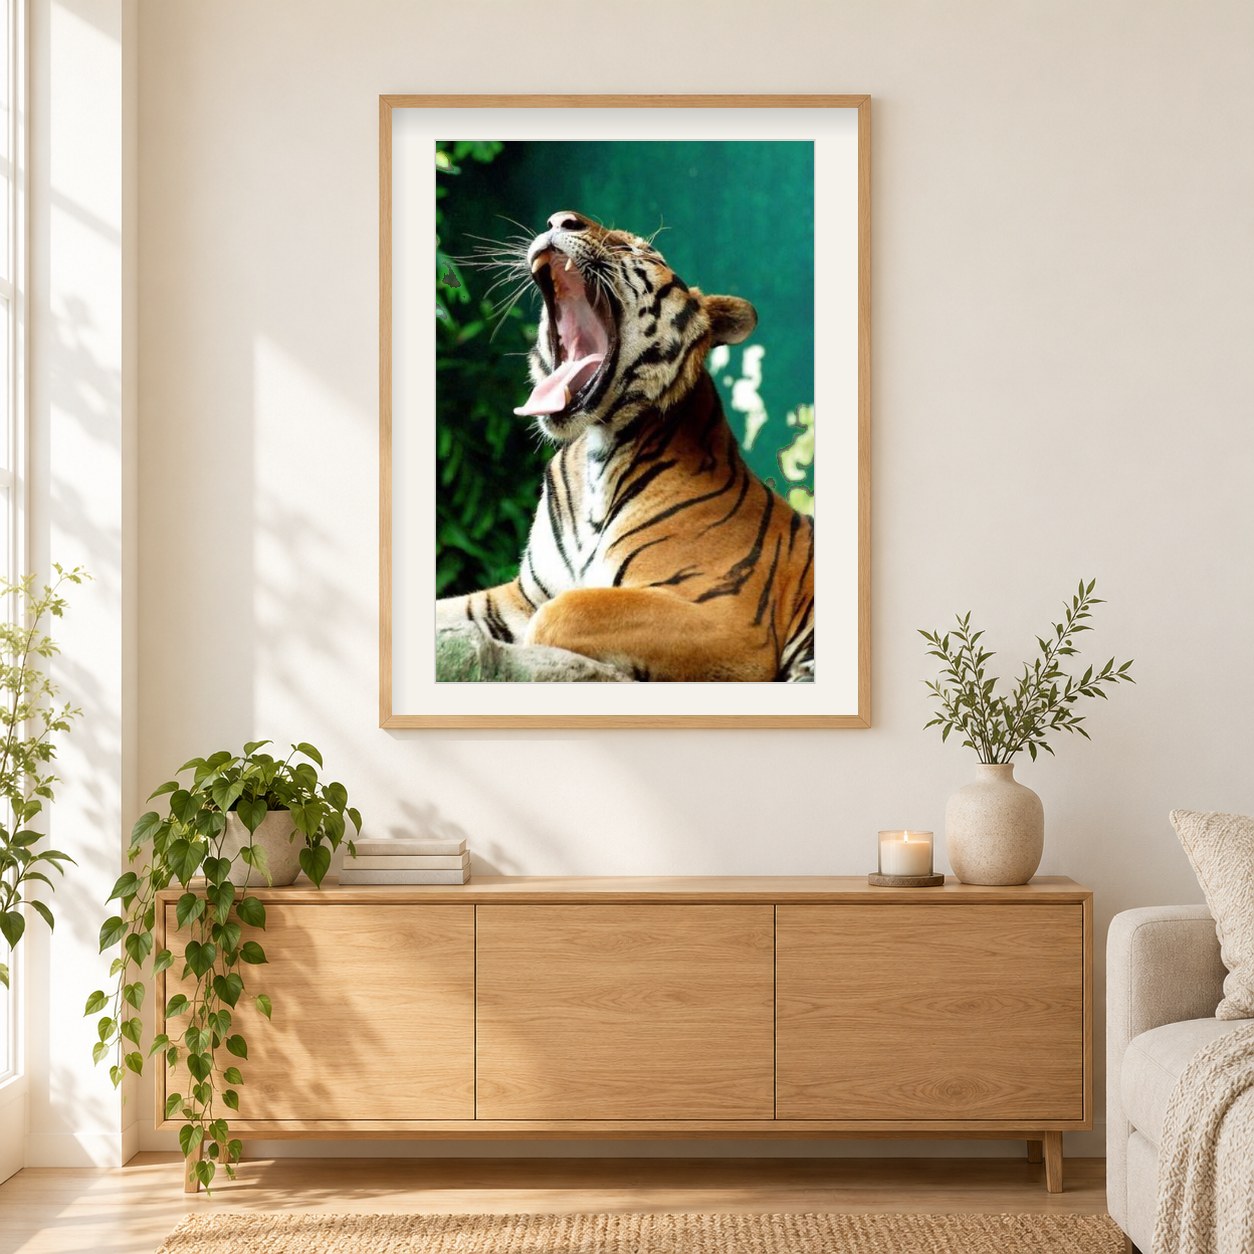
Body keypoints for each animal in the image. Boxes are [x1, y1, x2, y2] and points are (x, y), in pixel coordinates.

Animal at [436, 209, 815, 683]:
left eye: (634, 248)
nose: (559, 219)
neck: (595, 458)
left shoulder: (729, 622)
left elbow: (563, 614)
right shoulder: (524, 594)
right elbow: (450, 612)